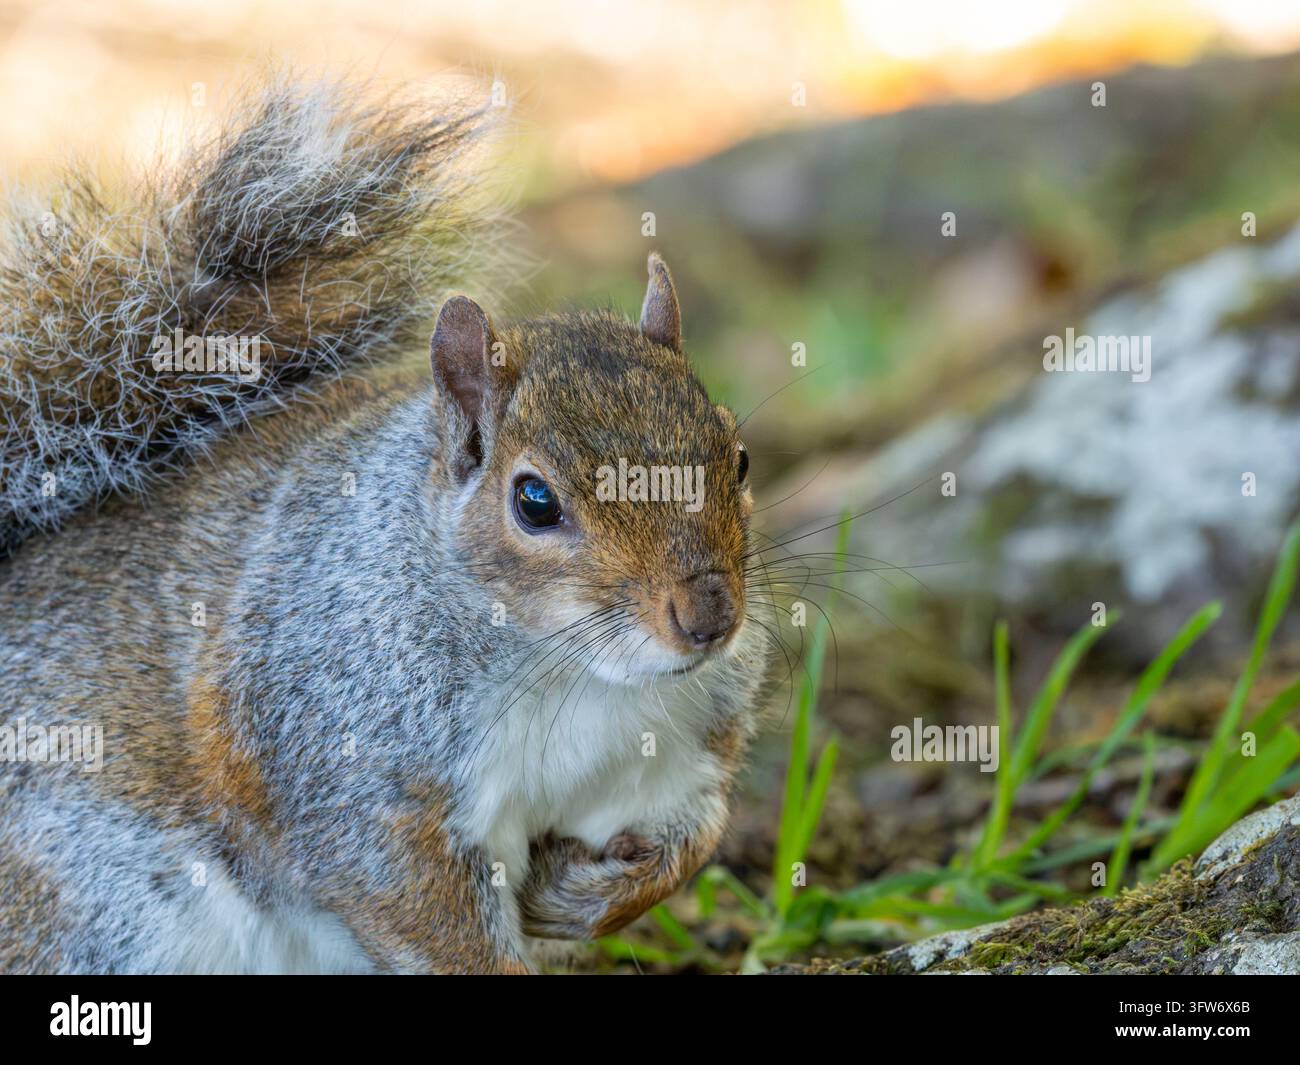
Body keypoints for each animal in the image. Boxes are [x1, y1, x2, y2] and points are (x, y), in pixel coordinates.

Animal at [0, 77, 770, 973]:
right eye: (534, 501)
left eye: (740, 458)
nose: (709, 616)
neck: (573, 670)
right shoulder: (359, 775)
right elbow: (419, 910)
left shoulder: (679, 749)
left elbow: (692, 838)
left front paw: (578, 897)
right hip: (100, 907)